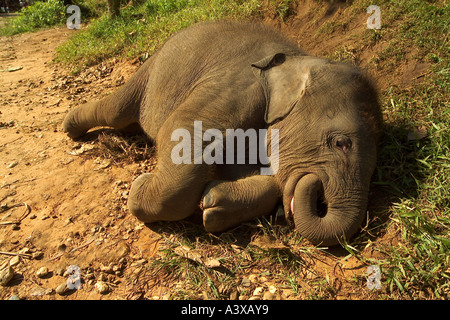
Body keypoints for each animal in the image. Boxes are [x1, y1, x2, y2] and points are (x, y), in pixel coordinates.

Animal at [61, 21, 382, 246]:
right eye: (341, 143)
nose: (318, 192)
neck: (301, 60)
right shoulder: (238, 88)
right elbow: (181, 126)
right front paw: (141, 186)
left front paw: (213, 204)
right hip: (152, 71)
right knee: (116, 109)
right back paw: (70, 127)